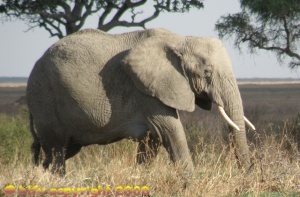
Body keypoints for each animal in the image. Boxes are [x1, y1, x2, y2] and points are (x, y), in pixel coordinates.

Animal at [27, 27, 254, 179]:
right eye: (207, 72)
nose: (249, 175)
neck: (180, 40)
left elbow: (152, 140)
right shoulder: (144, 89)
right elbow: (170, 131)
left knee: (58, 152)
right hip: (45, 98)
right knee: (57, 150)